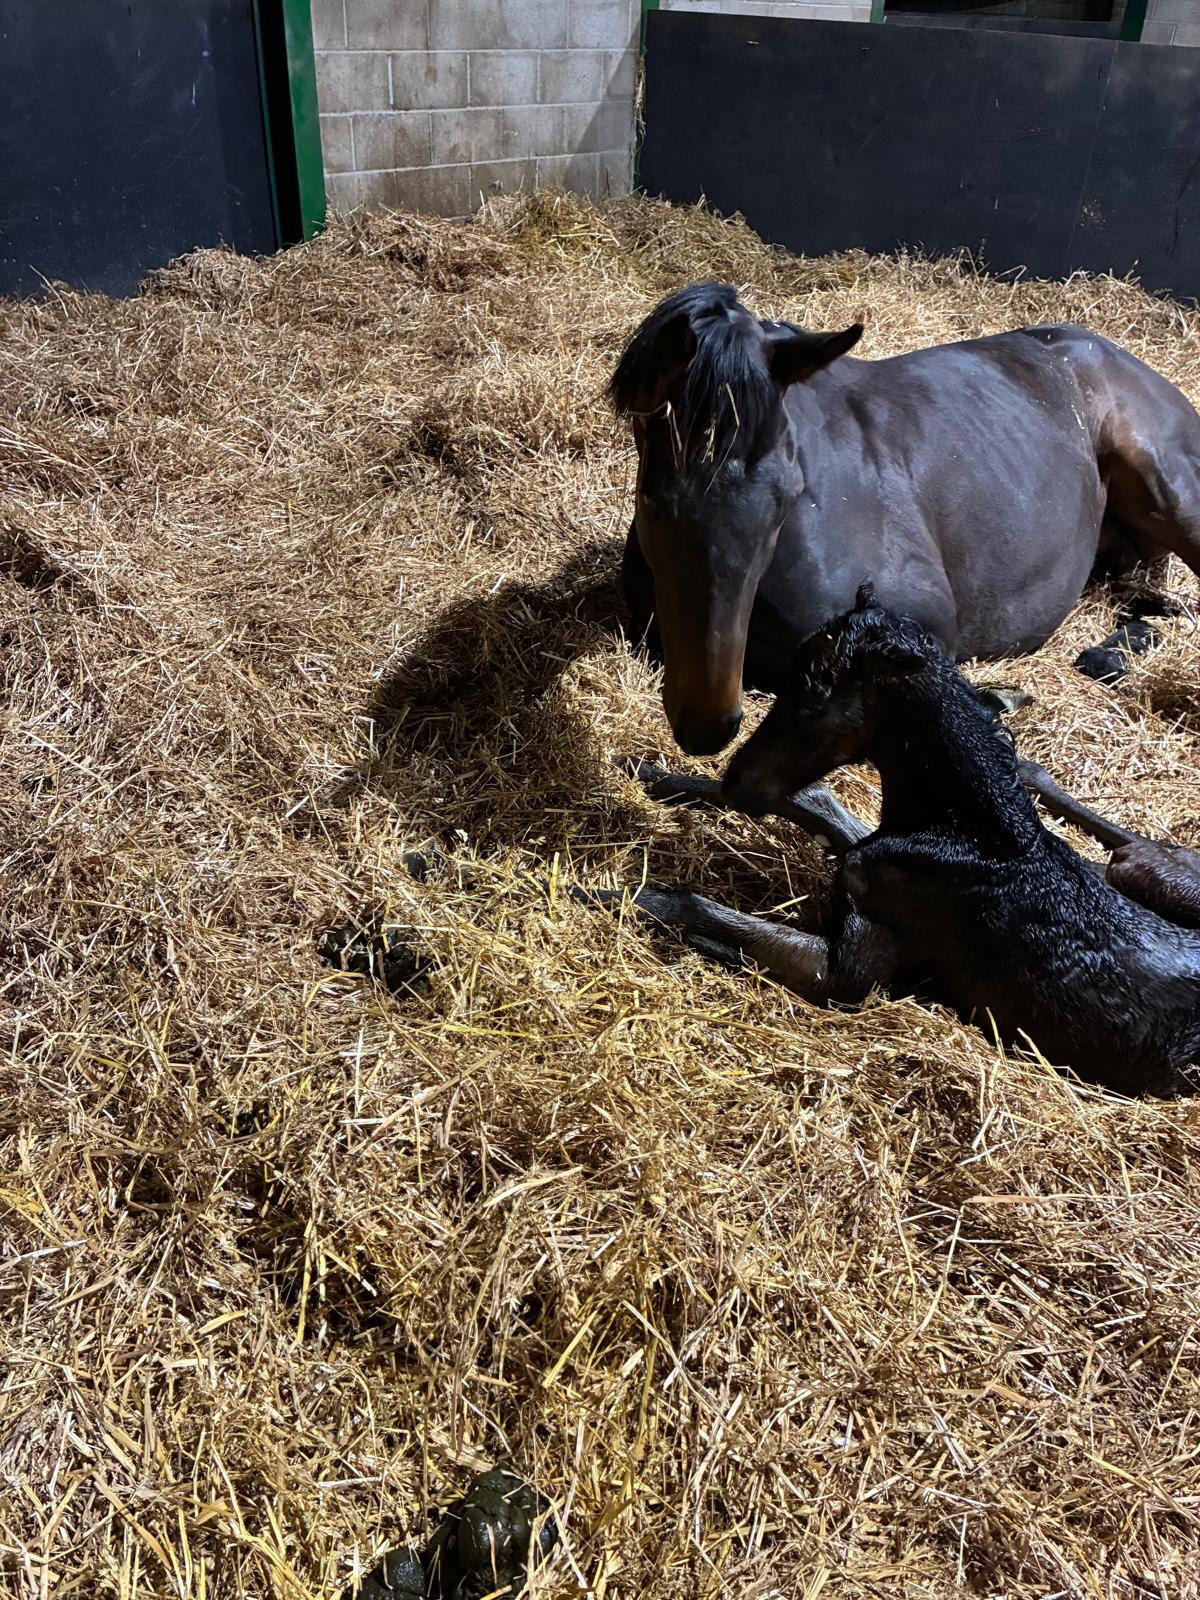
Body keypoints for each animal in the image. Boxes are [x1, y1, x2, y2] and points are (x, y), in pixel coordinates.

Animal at [596, 589, 1200, 1099]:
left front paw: (607, 895)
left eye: (813, 704)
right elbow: (819, 805)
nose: (737, 781)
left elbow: (707, 907)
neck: (975, 835)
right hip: (1132, 872)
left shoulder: (845, 973)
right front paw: (646, 773)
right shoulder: (863, 858)